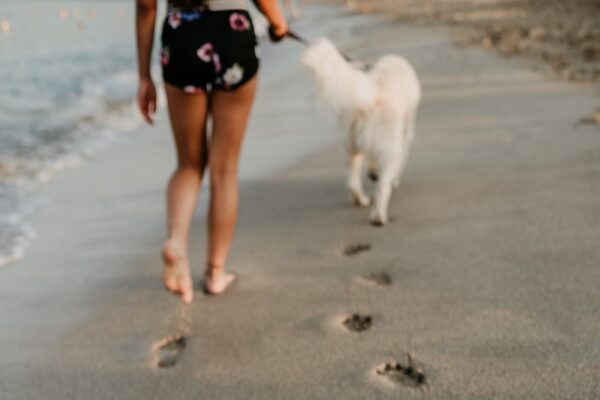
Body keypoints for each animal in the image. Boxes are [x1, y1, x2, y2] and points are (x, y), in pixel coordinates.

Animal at [302, 38, 420, 225]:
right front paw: (393, 180)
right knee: (381, 188)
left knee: (352, 182)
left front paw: (372, 172)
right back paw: (378, 217)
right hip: (388, 150)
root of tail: (369, 102)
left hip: (351, 147)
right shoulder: (405, 133)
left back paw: (361, 200)